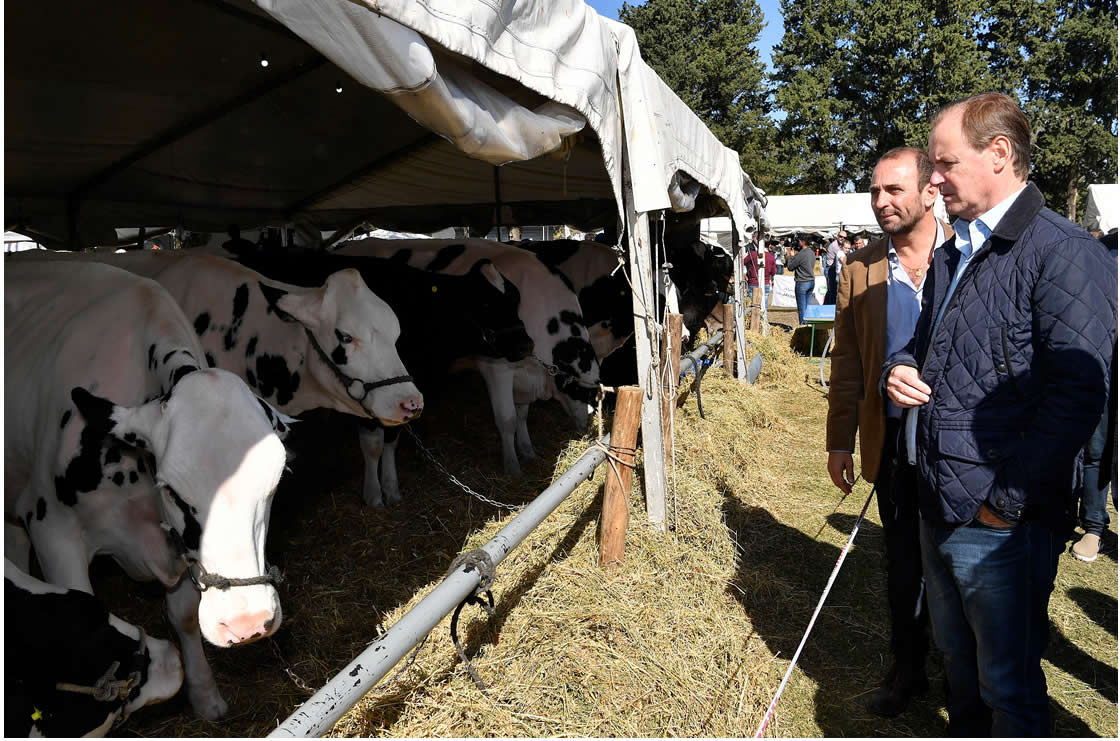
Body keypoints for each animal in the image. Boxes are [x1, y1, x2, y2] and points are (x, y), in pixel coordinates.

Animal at [5, 263, 293, 720]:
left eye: (277, 479)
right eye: (172, 490)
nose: (246, 623)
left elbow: (185, 616)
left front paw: (205, 695)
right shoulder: (54, 531)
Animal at [226, 246, 533, 508]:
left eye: (516, 298)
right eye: (484, 304)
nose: (526, 344)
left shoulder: (403, 393)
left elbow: (392, 440)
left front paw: (391, 487)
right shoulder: (364, 392)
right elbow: (373, 446)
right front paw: (373, 495)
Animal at [338, 240, 604, 479]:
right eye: (582, 391)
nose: (587, 426)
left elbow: (522, 414)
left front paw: (527, 449)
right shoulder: (496, 368)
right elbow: (507, 419)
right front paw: (512, 465)